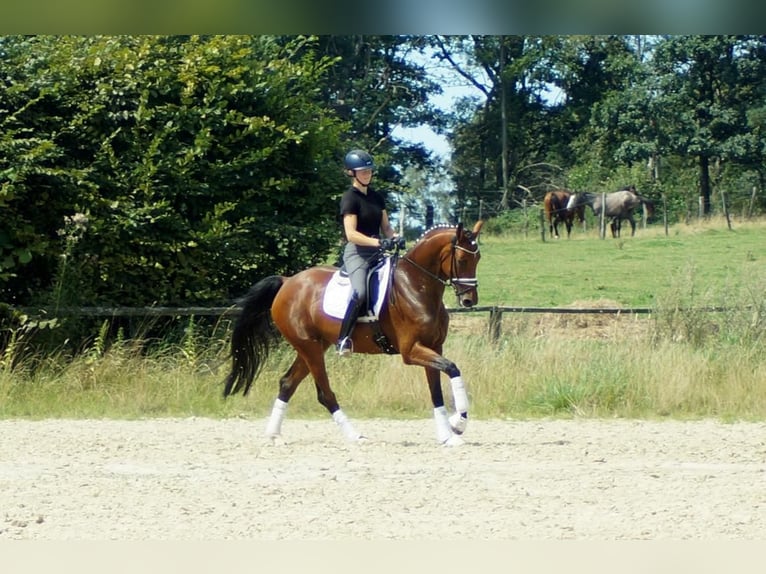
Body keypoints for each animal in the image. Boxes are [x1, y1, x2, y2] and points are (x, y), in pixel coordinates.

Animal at [224, 223, 486, 448]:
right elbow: (452, 368)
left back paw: (274, 435)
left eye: (478, 259)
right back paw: (355, 436)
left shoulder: (434, 347)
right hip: (309, 347)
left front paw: (448, 434)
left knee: (287, 383)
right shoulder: (411, 351)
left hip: (313, 347)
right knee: (325, 394)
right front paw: (458, 423)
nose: (469, 300)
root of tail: (287, 281)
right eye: (462, 259)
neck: (416, 285)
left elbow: (437, 391)